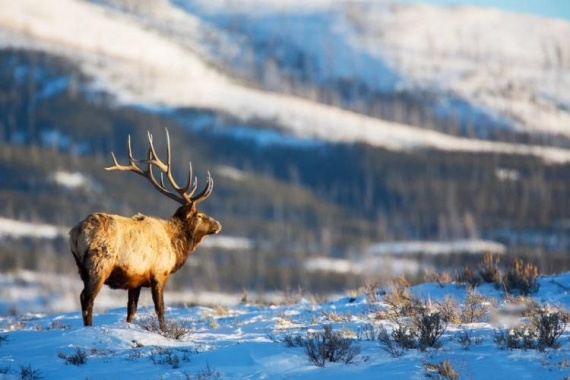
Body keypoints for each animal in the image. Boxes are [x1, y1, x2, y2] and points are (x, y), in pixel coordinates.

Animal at [69, 129, 220, 328]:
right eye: (200, 215)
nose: (218, 224)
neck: (175, 248)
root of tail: (75, 233)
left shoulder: (136, 280)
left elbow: (131, 311)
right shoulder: (159, 274)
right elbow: (160, 309)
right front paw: (164, 330)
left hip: (82, 268)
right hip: (99, 264)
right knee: (86, 298)